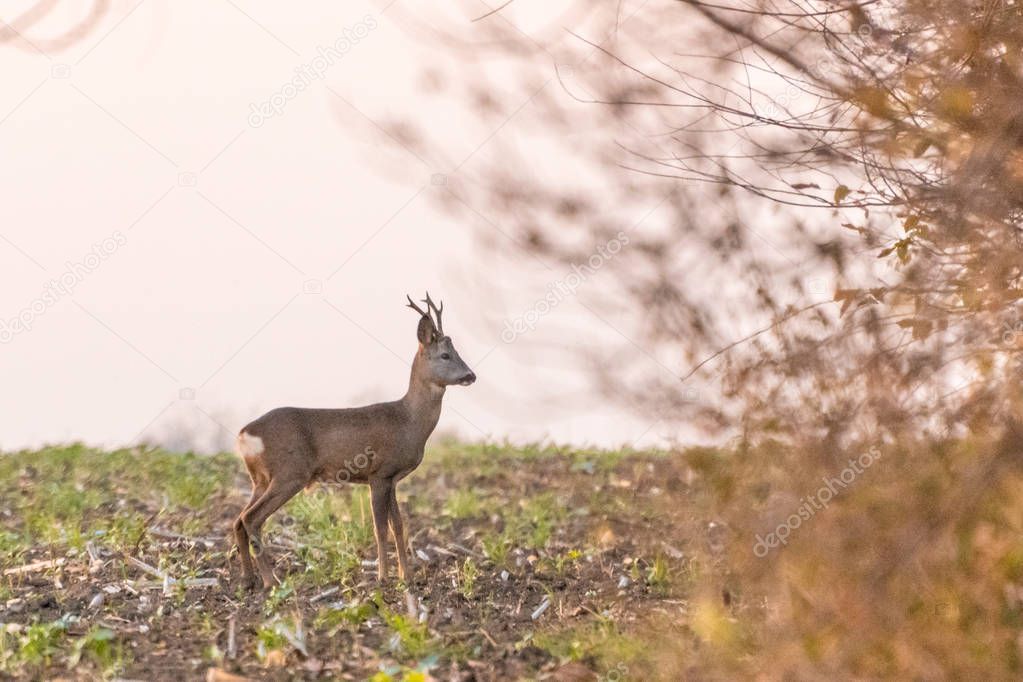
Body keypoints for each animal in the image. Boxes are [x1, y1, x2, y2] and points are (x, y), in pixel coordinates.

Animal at [233, 290, 474, 588]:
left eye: (457, 352)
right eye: (445, 355)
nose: (471, 375)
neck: (409, 421)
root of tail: (245, 433)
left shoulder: (392, 479)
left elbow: (398, 525)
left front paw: (407, 576)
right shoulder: (379, 473)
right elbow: (380, 528)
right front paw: (383, 577)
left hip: (260, 479)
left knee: (238, 520)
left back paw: (248, 579)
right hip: (290, 473)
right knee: (251, 518)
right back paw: (270, 581)